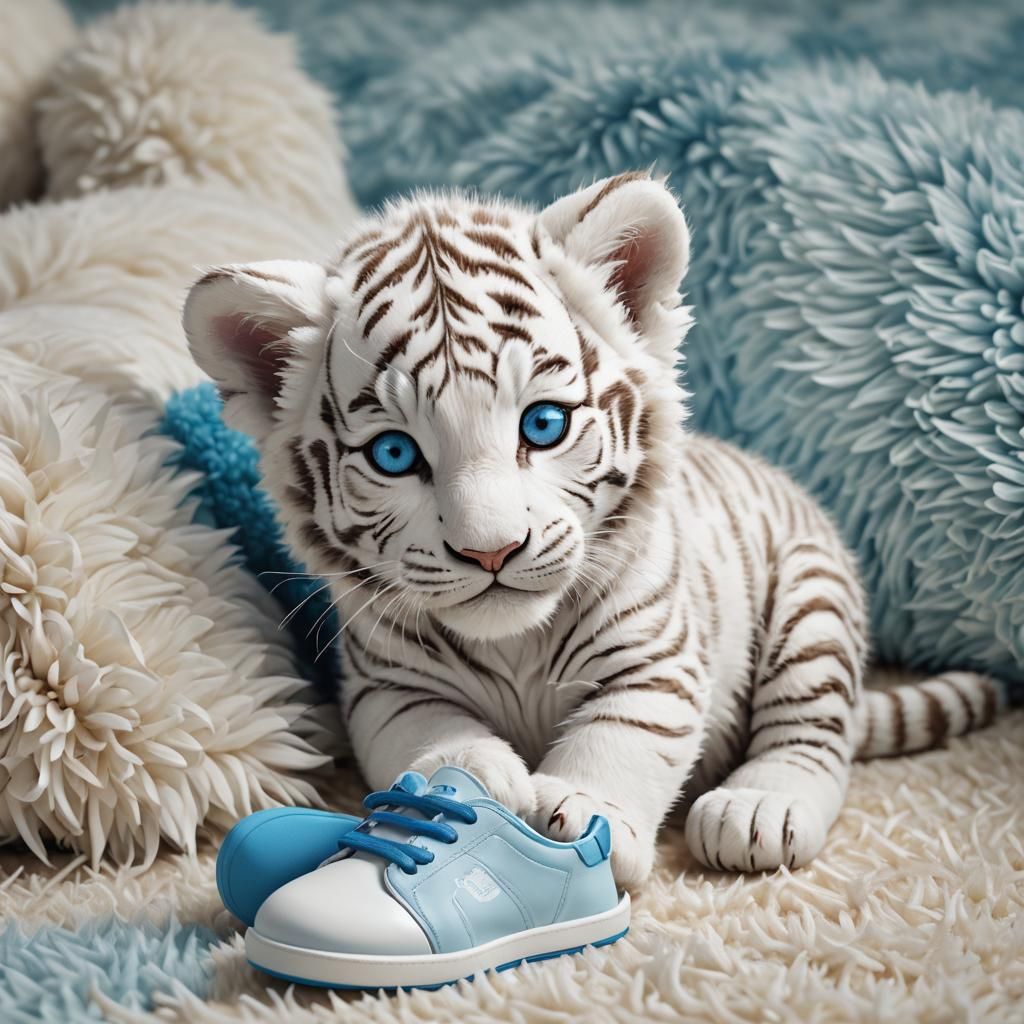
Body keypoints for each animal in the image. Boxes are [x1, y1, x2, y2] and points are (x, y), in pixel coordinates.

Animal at [184, 172, 1008, 886]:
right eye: (394, 454)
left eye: (542, 425)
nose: (491, 550)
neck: (514, 643)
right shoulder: (385, 681)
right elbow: (420, 730)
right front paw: (475, 773)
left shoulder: (657, 656)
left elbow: (623, 735)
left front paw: (582, 808)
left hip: (812, 605)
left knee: (813, 734)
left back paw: (757, 806)